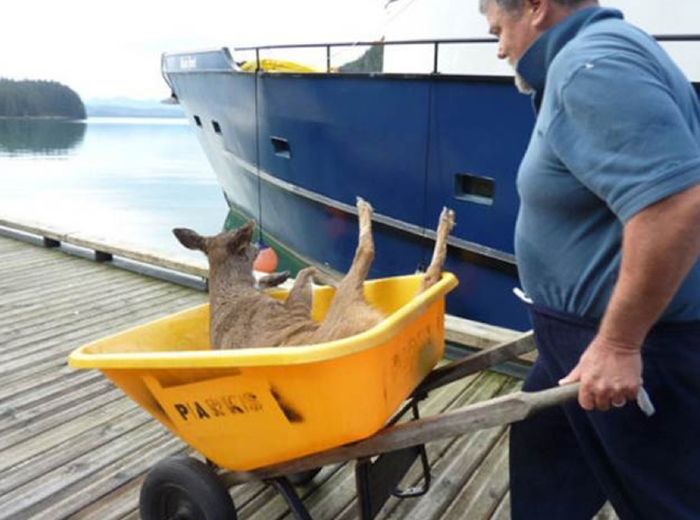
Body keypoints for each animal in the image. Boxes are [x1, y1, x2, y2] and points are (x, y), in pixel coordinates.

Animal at [174, 198, 456, 350]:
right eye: (249, 244)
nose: (256, 245)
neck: (231, 291)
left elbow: (295, 273)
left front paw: (274, 277)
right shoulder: (294, 309)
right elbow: (305, 271)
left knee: (424, 284)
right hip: (349, 304)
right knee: (371, 254)